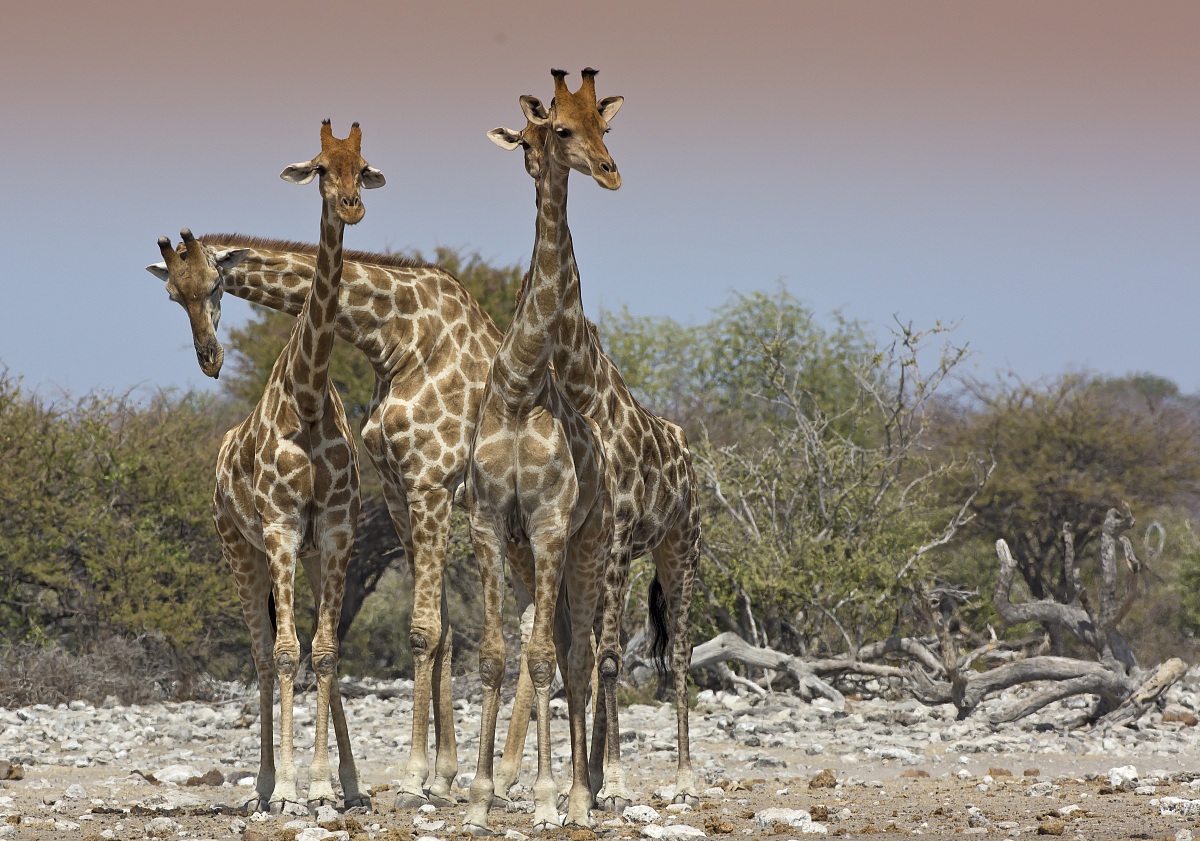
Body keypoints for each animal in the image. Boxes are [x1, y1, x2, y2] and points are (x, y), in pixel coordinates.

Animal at [148, 230, 505, 807]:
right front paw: (432, 777)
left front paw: (409, 779)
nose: (209, 358)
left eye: (214, 283)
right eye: (174, 296)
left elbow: (416, 632)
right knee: (267, 652)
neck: (400, 332)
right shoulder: (389, 494)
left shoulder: (420, 487)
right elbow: (418, 633)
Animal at [151, 120, 382, 812]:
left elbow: (326, 652)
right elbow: (283, 654)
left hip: (299, 553)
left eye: (360, 166)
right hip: (240, 550)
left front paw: (332, 784)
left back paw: (340, 783)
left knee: (307, 647)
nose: (350, 207)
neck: (307, 398)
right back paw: (262, 783)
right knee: (258, 652)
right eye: (319, 168)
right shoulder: (279, 529)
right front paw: (289, 791)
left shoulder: (335, 533)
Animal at [487, 70, 702, 808]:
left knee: (674, 650)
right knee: (583, 648)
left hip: (678, 547)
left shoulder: (606, 536)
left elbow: (598, 657)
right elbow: (563, 653)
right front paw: (570, 780)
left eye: (603, 127)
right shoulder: (545, 540)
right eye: (551, 130)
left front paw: (599, 781)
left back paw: (679, 773)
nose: (609, 171)